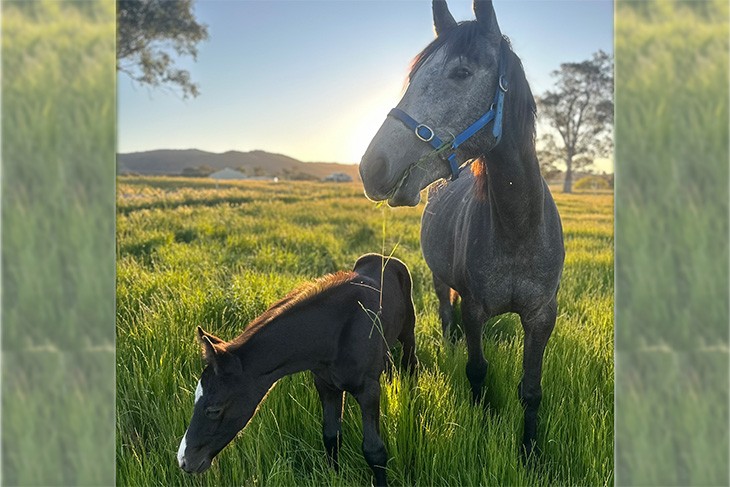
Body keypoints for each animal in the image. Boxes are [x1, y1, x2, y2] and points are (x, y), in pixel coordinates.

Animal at [176, 253, 417, 487]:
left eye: (214, 410)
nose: (185, 461)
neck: (336, 333)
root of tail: (385, 258)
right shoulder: (326, 385)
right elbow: (331, 436)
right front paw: (334, 475)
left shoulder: (368, 391)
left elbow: (374, 450)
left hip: (408, 334)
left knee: (410, 363)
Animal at [358, 0, 564, 460]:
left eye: (461, 72)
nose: (372, 167)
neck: (518, 229)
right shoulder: (475, 310)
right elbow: (476, 368)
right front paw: (482, 418)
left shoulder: (542, 316)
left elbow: (532, 389)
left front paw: (530, 452)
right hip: (438, 279)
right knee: (444, 309)